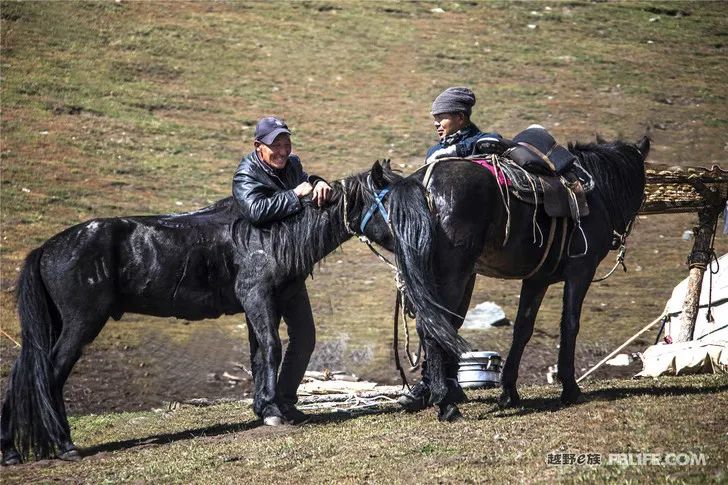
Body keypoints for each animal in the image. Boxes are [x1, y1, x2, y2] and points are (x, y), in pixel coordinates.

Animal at [1, 164, 466, 466]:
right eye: (396, 206)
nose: (428, 242)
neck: (271, 234)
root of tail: (46, 249)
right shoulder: (256, 296)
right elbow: (273, 348)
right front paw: (273, 411)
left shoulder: (260, 304)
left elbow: (263, 353)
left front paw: (271, 407)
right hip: (80, 325)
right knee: (47, 375)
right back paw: (64, 445)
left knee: (25, 373)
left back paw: (11, 450)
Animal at [370, 136, 648, 420]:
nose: (620, 237)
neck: (594, 193)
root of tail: (424, 183)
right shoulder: (581, 270)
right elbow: (570, 325)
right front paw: (570, 389)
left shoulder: (537, 279)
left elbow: (522, 329)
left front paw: (509, 392)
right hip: (451, 277)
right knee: (435, 328)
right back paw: (446, 404)